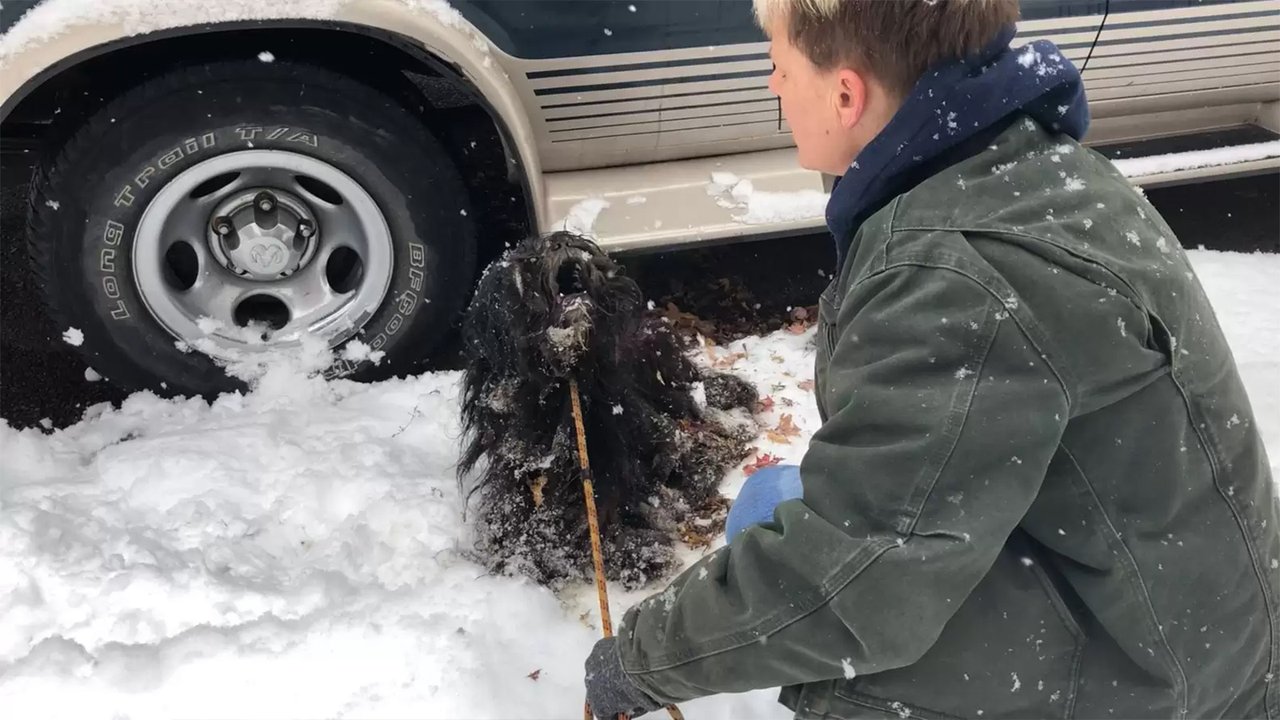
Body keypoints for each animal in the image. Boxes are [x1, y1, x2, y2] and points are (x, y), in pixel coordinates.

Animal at [458, 229, 752, 589]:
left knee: (696, 407)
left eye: (567, 240)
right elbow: (532, 535)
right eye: (525, 262)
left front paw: (637, 554)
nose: (561, 241)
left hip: (659, 363)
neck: (566, 383)